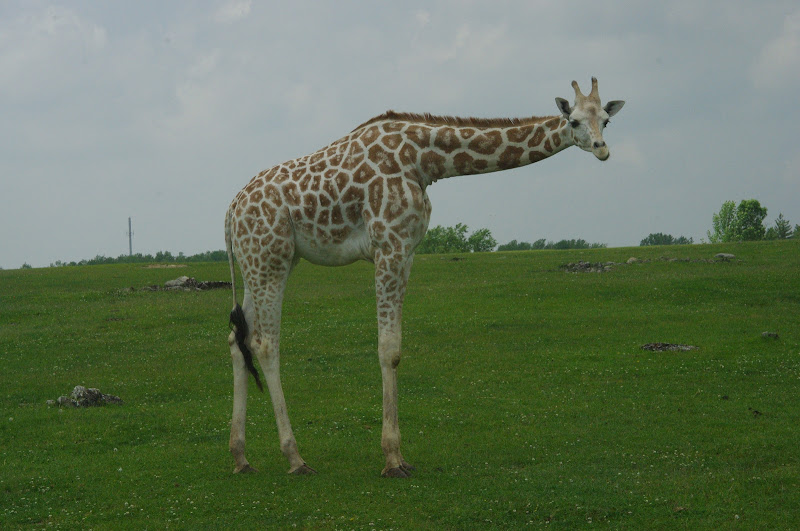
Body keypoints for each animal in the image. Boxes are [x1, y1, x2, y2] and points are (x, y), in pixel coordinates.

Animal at [225, 77, 624, 477]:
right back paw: (294, 457)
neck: (425, 160)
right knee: (264, 343)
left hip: (263, 261)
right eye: (573, 120)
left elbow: (396, 347)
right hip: (270, 258)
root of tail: (231, 210)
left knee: (236, 339)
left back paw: (241, 457)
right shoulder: (389, 244)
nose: (602, 150)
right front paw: (391, 458)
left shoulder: (409, 251)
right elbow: (388, 348)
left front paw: (400, 456)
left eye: (606, 120)